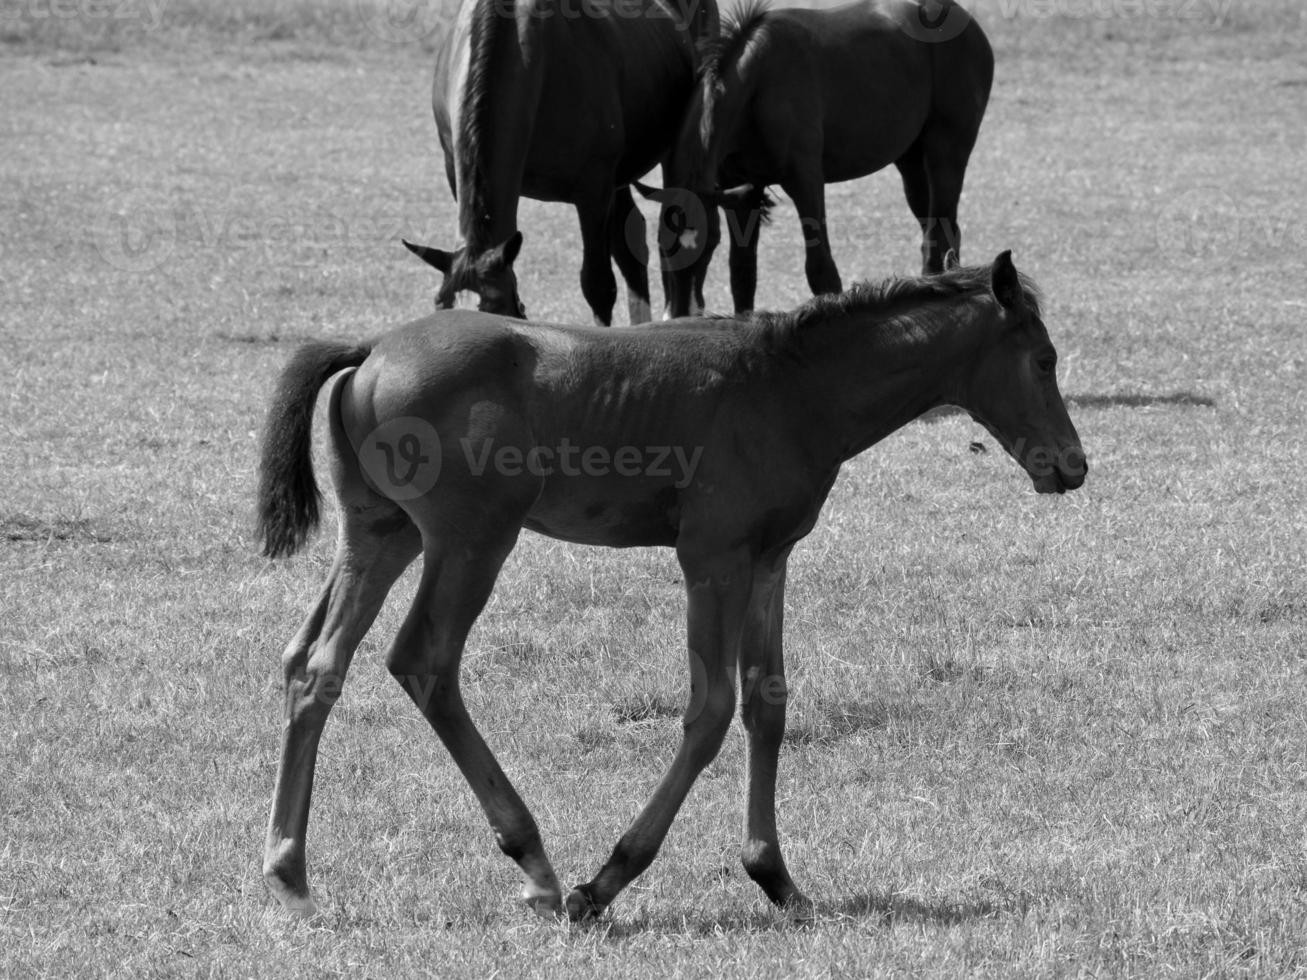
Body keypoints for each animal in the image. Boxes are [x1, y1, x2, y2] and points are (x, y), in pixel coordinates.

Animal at [254, 250, 1082, 919]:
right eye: (1043, 360)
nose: (1071, 465)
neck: (786, 387)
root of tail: (370, 349)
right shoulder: (711, 560)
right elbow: (710, 711)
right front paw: (607, 878)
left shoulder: (768, 559)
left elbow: (767, 702)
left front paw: (776, 878)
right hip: (470, 543)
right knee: (424, 663)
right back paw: (537, 864)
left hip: (380, 533)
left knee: (314, 663)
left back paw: (290, 873)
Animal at [658, 0, 993, 316]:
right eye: (662, 245)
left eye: (709, 244)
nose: (682, 313)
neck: (760, 85)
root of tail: (967, 22)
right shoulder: (740, 194)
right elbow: (742, 274)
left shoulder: (805, 183)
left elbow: (821, 271)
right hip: (912, 163)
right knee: (942, 236)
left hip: (945, 154)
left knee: (938, 239)